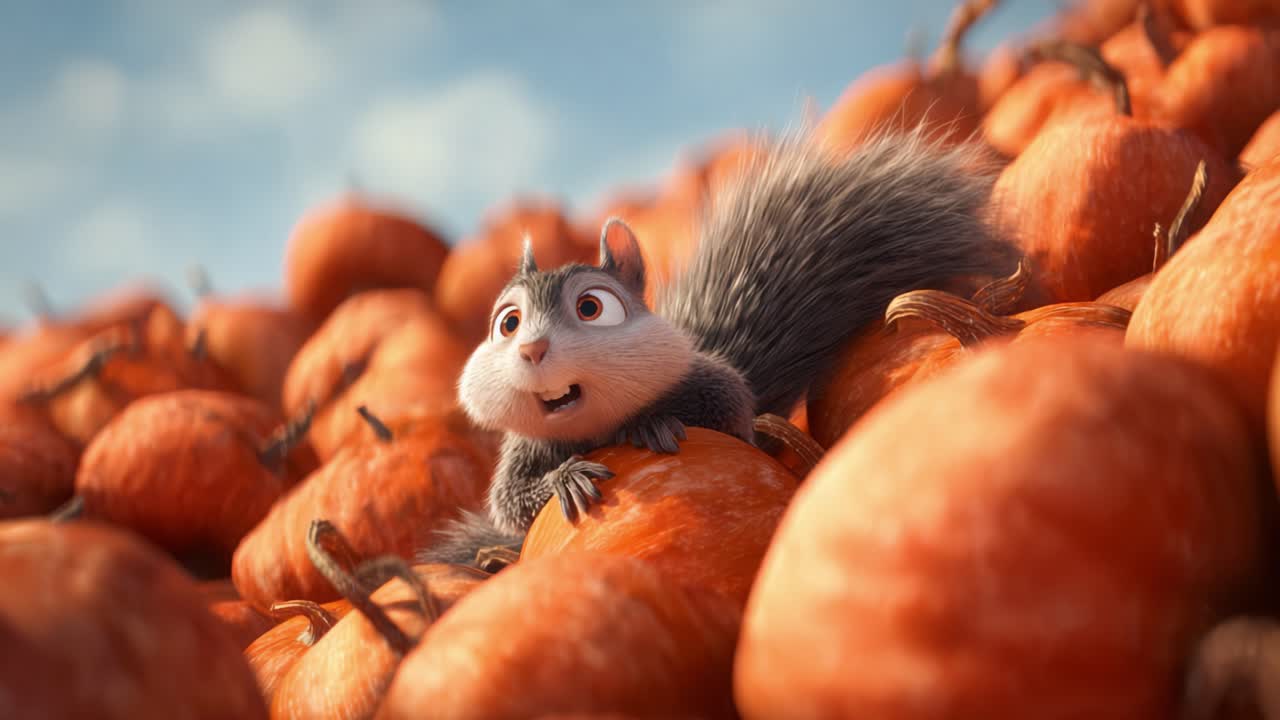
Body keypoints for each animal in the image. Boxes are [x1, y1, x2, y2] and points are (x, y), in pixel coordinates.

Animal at [417, 125, 1019, 566]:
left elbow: (733, 419)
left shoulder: (709, 381)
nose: (533, 350)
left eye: (593, 307)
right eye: (507, 323)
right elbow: (510, 506)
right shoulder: (524, 450)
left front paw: (651, 425)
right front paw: (565, 479)